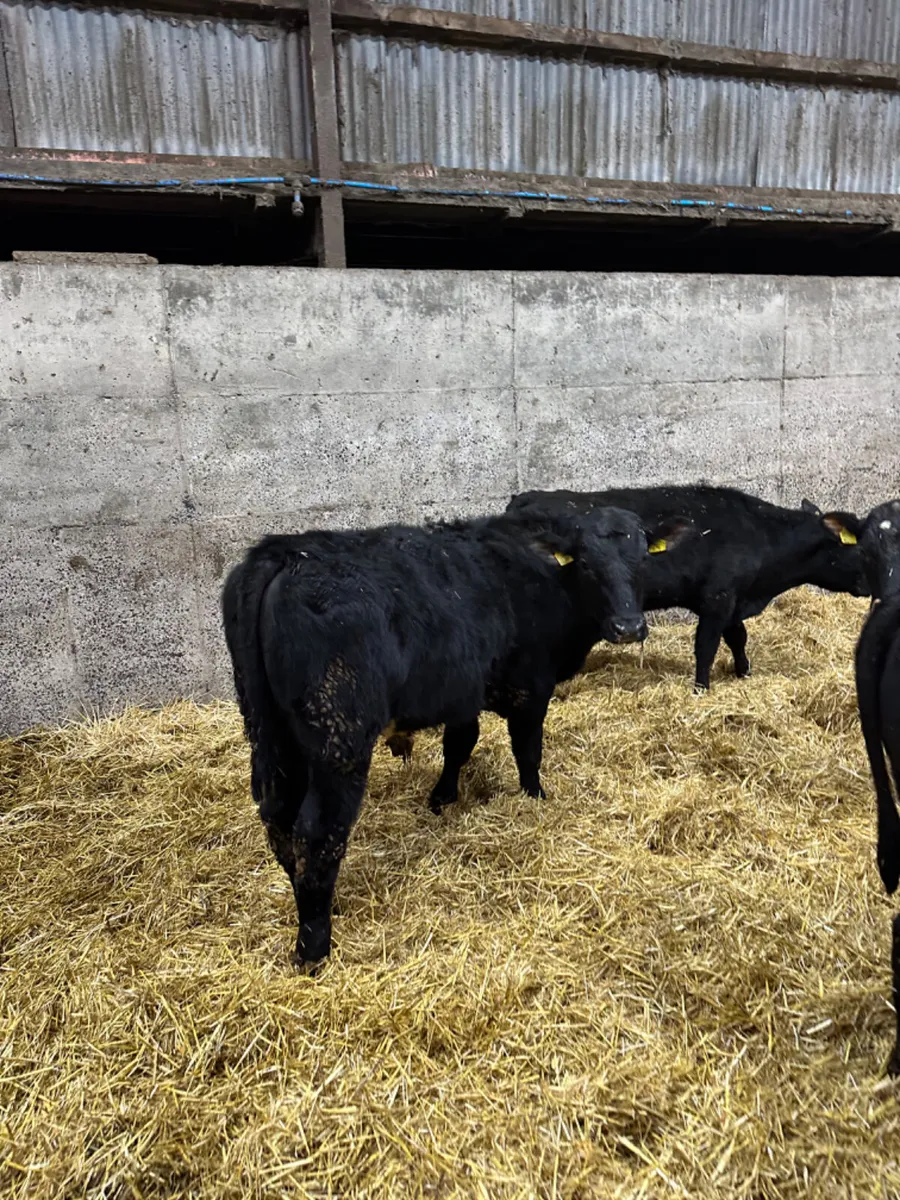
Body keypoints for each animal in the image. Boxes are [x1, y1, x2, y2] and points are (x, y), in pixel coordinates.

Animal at [222, 506, 692, 965]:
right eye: (588, 564)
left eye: (643, 560)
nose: (628, 627)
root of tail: (284, 553)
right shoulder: (531, 688)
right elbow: (528, 752)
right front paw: (534, 798)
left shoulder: (465, 692)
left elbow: (459, 745)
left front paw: (441, 799)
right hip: (339, 739)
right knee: (317, 830)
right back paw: (314, 949)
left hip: (269, 730)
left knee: (279, 818)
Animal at [507, 485, 867, 692]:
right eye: (858, 548)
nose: (868, 586)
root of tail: (522, 498)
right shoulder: (717, 599)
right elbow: (706, 647)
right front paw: (701, 689)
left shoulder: (732, 600)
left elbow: (738, 638)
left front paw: (744, 673)